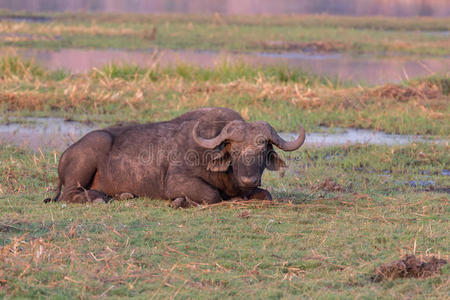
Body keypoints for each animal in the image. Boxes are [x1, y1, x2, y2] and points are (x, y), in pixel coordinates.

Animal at [44, 106, 306, 207]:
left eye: (262, 150)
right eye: (235, 151)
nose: (249, 179)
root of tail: (67, 152)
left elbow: (267, 195)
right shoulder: (177, 182)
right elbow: (211, 196)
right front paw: (181, 201)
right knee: (69, 195)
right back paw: (98, 198)